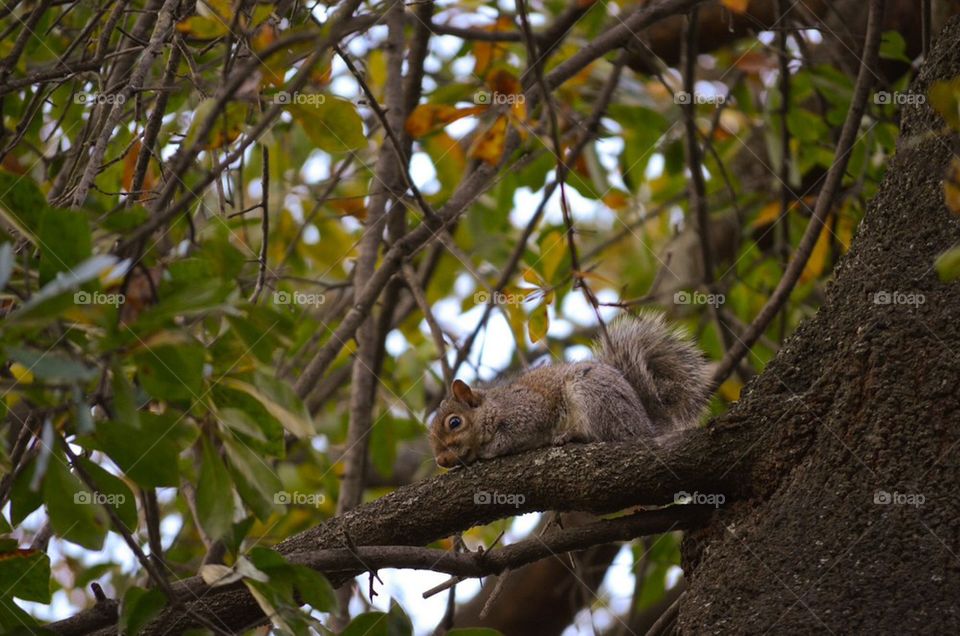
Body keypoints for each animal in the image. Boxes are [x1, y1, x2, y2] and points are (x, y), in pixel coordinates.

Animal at [432, 314, 708, 468]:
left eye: (454, 422)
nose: (441, 461)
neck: (493, 407)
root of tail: (646, 425)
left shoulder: (527, 410)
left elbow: (512, 435)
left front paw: (488, 450)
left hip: (594, 398)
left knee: (608, 435)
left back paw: (569, 435)